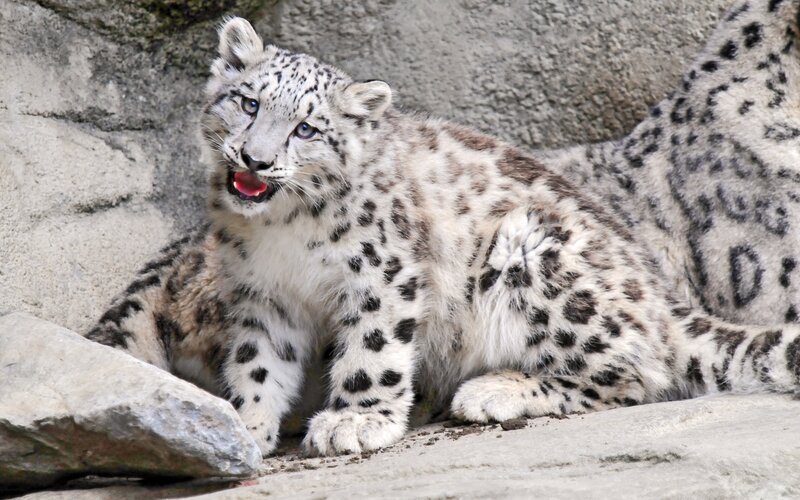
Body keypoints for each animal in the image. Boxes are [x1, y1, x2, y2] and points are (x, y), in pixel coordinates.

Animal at [87, 12, 800, 458]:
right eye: (249, 102)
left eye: (307, 129)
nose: (255, 161)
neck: (282, 233)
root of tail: (659, 296)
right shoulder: (264, 296)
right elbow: (260, 361)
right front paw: (247, 423)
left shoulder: (383, 271)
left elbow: (373, 349)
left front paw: (354, 421)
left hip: (534, 254)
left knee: (633, 374)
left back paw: (494, 391)